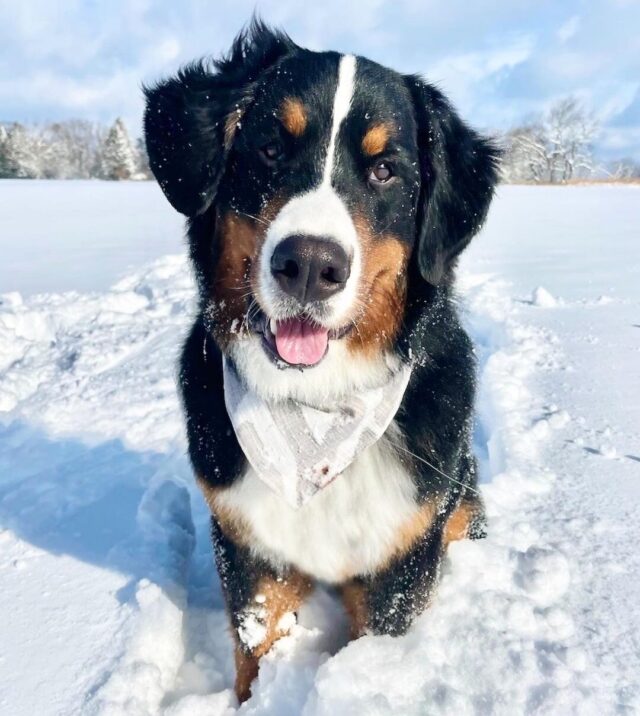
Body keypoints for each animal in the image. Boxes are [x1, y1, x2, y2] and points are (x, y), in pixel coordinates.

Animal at [144, 19, 500, 704]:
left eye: (385, 170)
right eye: (269, 150)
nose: (310, 264)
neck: (316, 411)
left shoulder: (402, 558)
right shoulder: (251, 549)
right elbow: (256, 651)